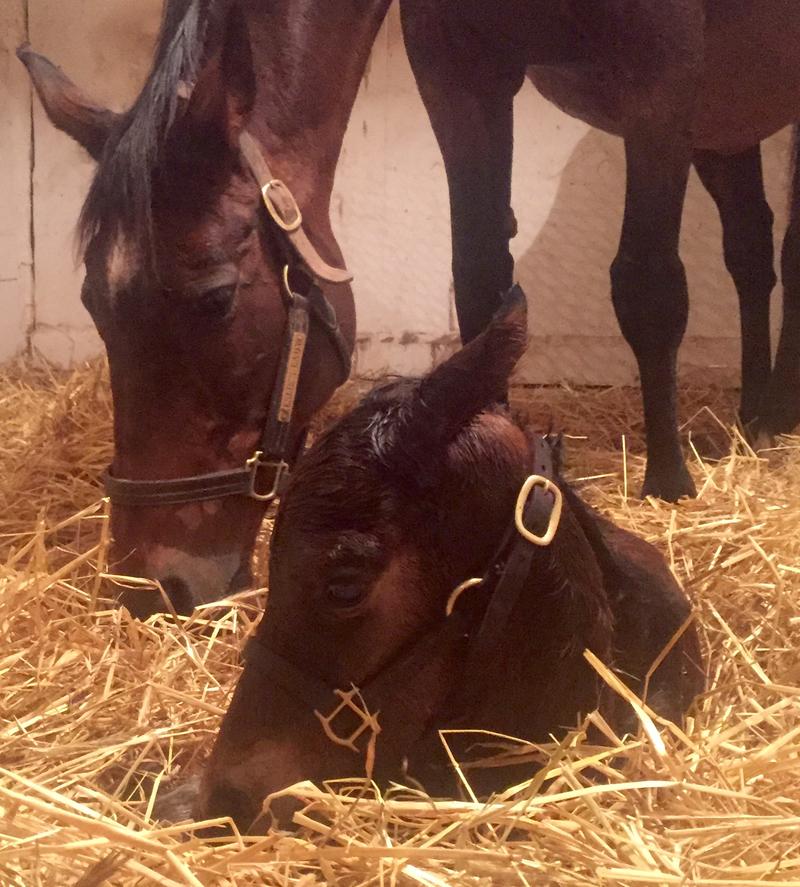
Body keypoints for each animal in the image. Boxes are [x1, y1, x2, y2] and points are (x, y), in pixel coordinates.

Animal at [400, 0, 800, 500]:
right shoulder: (452, 62)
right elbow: (480, 273)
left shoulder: (660, 70)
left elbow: (648, 287)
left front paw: (668, 481)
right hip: (726, 115)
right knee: (751, 246)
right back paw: (752, 412)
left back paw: (778, 415)